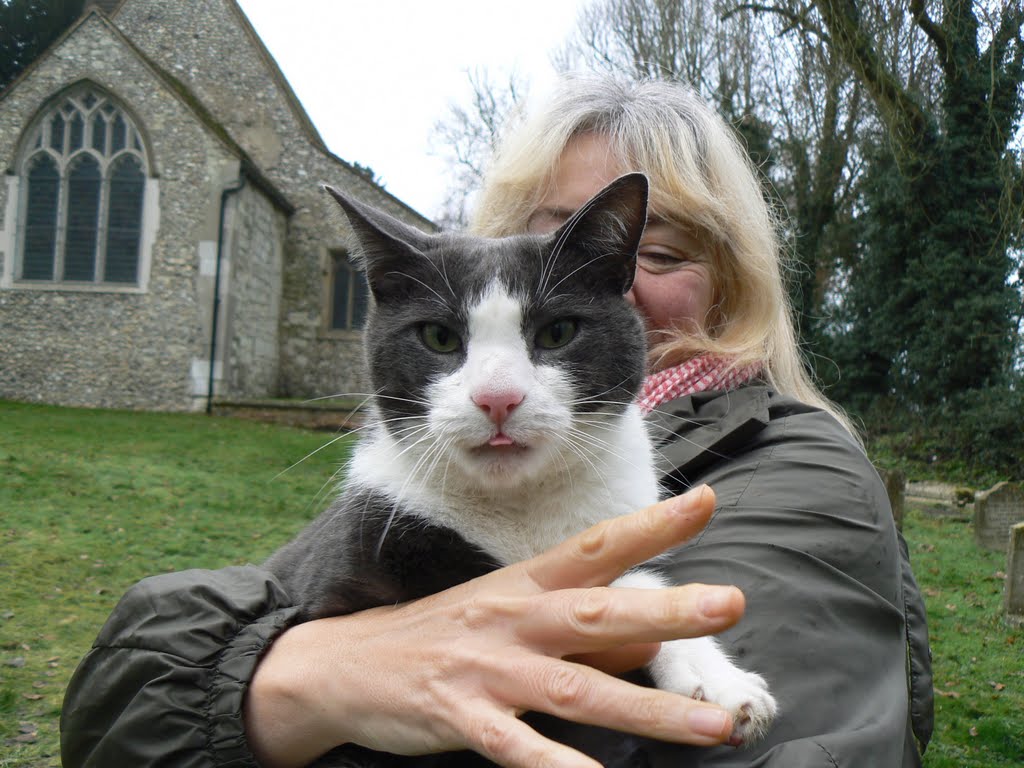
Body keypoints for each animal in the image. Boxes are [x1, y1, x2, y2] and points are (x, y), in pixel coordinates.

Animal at [264, 173, 774, 765]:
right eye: (439, 337)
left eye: (558, 332)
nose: (498, 398)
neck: (519, 511)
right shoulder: (335, 576)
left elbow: (635, 580)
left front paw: (718, 679)